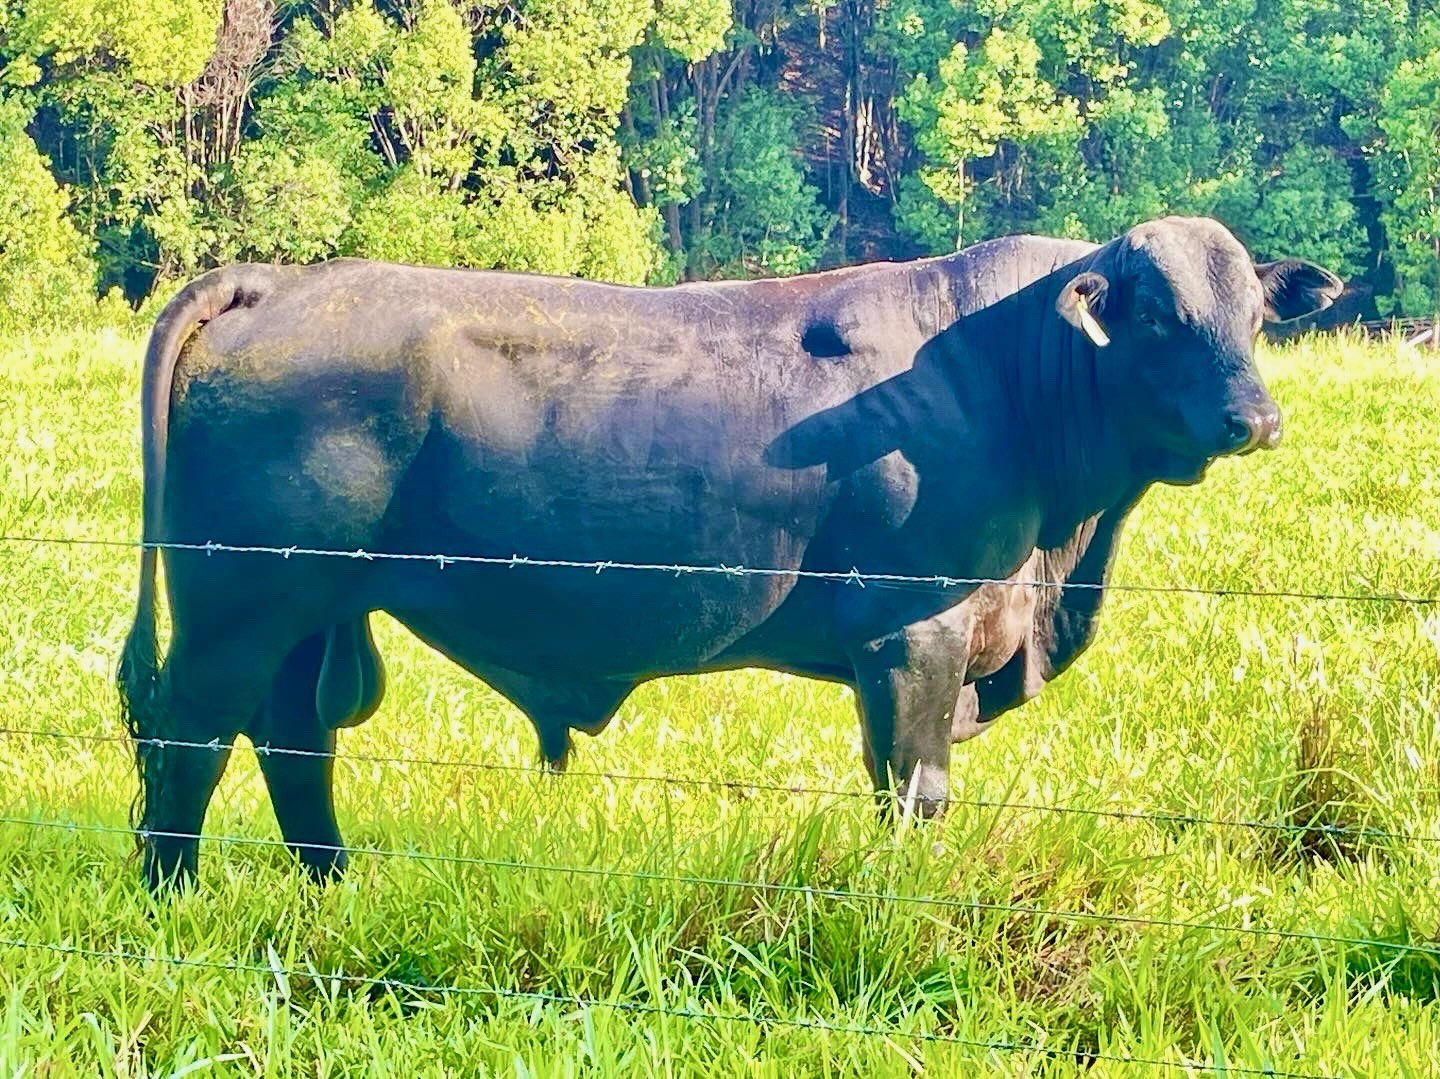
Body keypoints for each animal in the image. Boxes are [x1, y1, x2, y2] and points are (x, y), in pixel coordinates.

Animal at [116, 215, 1342, 890]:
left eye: (1255, 316)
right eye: (1159, 315)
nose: (1256, 418)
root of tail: (284, 278)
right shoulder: (914, 634)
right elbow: (915, 790)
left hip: (308, 609)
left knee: (294, 742)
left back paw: (332, 886)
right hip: (239, 605)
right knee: (193, 736)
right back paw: (176, 896)